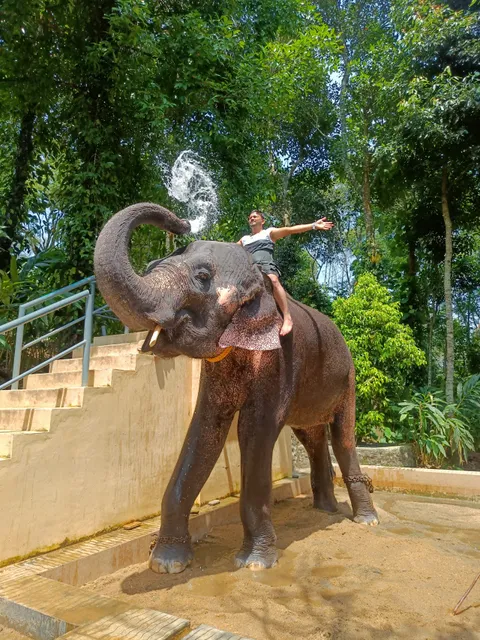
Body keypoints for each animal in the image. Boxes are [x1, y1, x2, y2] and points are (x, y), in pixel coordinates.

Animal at [94, 202, 379, 574]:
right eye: (153, 266)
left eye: (202, 277)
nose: (182, 223)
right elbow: (204, 428)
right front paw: (166, 564)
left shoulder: (279, 357)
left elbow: (254, 429)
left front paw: (255, 563)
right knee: (313, 437)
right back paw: (325, 510)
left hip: (348, 379)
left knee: (342, 436)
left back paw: (366, 520)